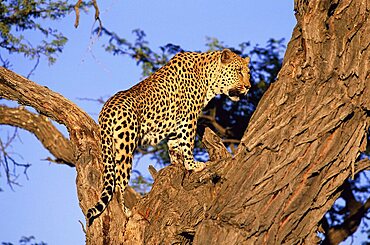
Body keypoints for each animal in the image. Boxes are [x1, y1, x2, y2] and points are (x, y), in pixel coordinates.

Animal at [85, 48, 250, 227]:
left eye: (248, 73)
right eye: (238, 71)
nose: (248, 87)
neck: (209, 79)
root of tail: (106, 110)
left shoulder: (175, 125)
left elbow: (174, 145)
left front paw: (178, 164)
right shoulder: (189, 117)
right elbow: (187, 143)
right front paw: (193, 165)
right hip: (125, 145)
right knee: (119, 184)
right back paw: (126, 211)